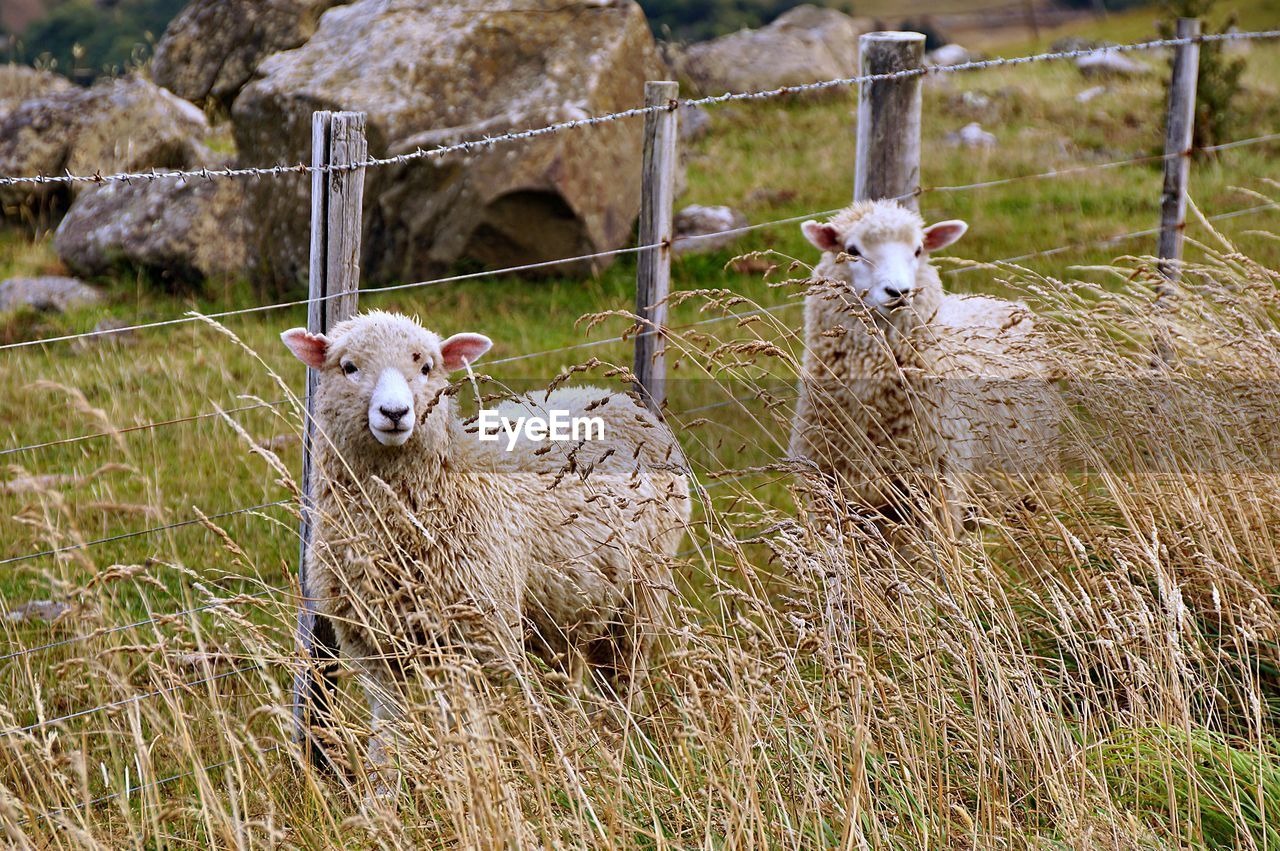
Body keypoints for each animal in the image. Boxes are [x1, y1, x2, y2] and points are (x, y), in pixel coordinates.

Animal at [281, 311, 689, 795]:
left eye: (427, 367)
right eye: (348, 367)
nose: (395, 413)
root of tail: (624, 401)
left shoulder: (482, 642)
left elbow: (475, 730)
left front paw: (482, 791)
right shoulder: (374, 645)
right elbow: (387, 732)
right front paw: (382, 799)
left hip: (642, 593)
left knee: (621, 681)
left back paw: (614, 754)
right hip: (568, 605)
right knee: (572, 672)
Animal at [790, 200, 1056, 526]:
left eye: (918, 250)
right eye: (852, 250)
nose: (899, 292)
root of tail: (1007, 302)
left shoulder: (936, 493)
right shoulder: (830, 497)